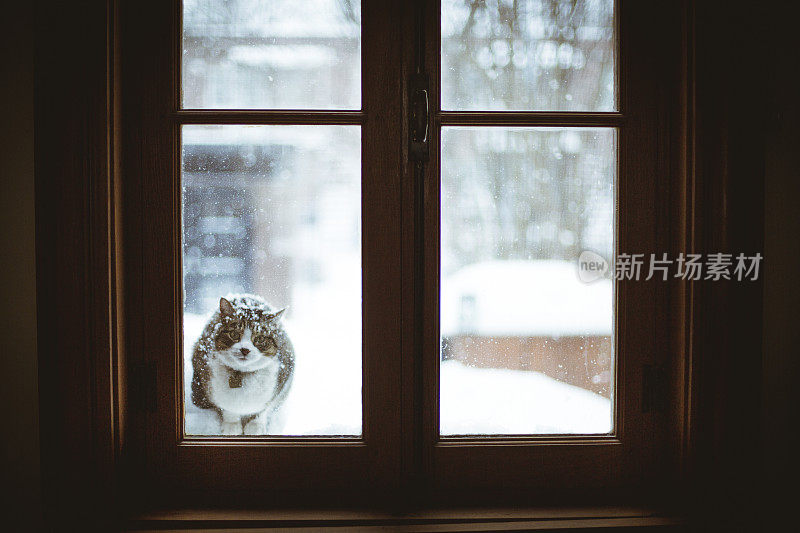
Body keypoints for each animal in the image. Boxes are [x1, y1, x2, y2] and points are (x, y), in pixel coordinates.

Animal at [191, 294, 294, 434]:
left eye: (260, 338)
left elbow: (264, 408)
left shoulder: (280, 383)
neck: (242, 375)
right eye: (234, 334)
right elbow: (228, 409)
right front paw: (232, 426)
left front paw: (255, 426)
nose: (245, 349)